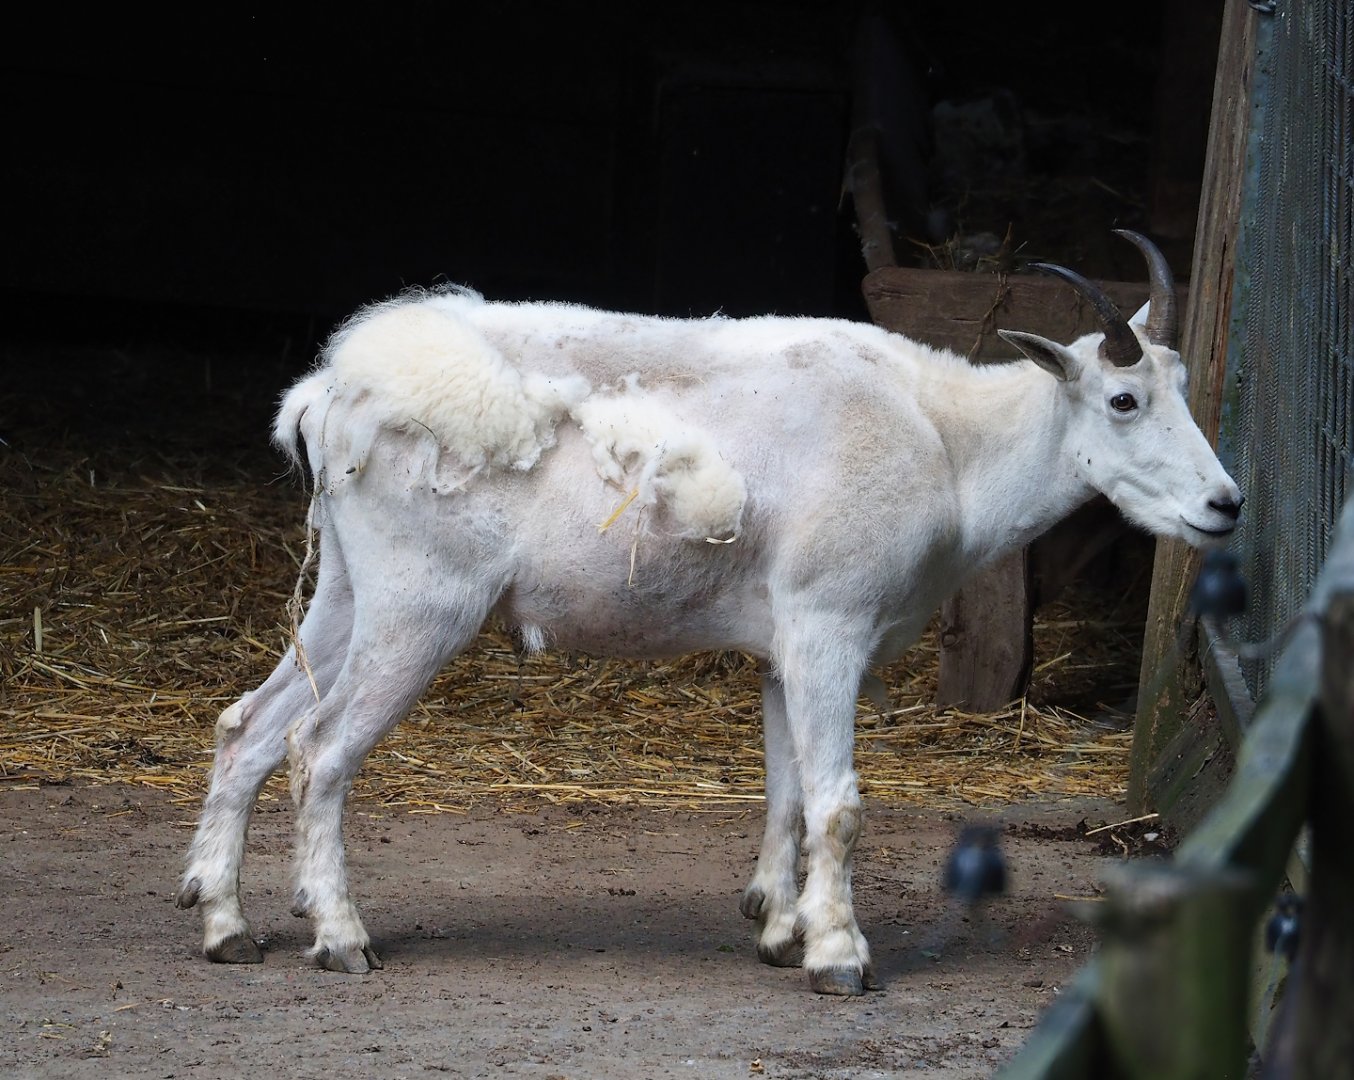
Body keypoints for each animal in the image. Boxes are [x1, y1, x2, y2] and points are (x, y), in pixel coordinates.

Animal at [177, 231, 1242, 995]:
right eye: (1123, 400)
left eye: (1181, 388)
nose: (1224, 504)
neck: (945, 441)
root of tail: (328, 395)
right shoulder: (830, 623)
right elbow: (837, 802)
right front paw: (837, 956)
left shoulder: (785, 645)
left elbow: (785, 792)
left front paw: (778, 926)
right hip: (420, 602)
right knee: (320, 746)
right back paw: (339, 937)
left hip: (348, 591)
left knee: (249, 725)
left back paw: (227, 925)